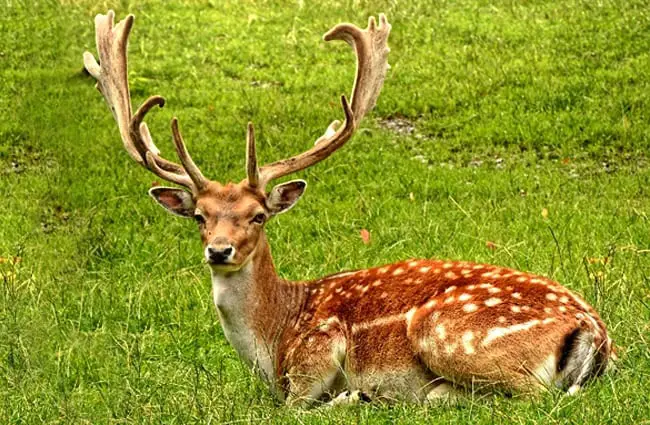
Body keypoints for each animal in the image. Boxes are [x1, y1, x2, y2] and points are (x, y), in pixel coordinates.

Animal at [85, 11, 612, 406]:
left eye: (258, 215)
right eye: (200, 216)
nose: (219, 251)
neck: (275, 339)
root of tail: (594, 330)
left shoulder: (316, 353)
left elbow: (297, 407)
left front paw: (352, 396)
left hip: (446, 332)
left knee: (530, 397)